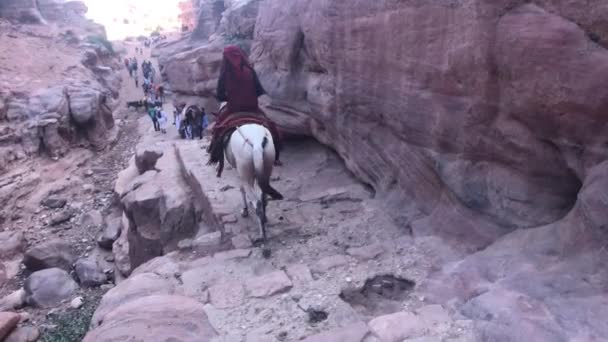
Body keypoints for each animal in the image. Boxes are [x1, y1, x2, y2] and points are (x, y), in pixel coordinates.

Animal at [224, 122, 284, 256]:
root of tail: (256, 142)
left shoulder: (239, 172)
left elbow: (242, 189)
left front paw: (245, 210)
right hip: (267, 166)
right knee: (263, 197)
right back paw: (264, 221)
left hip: (245, 170)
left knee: (257, 202)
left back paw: (263, 240)